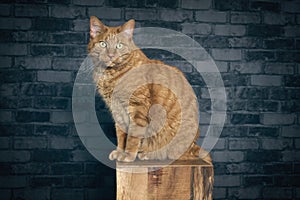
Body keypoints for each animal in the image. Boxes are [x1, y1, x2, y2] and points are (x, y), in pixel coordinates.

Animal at [88, 16, 211, 164]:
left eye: (119, 45)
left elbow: (132, 137)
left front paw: (128, 155)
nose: (111, 55)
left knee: (172, 154)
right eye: (103, 44)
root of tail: (195, 147)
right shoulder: (117, 110)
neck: (111, 75)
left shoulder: (138, 109)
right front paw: (120, 152)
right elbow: (121, 135)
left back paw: (147, 154)